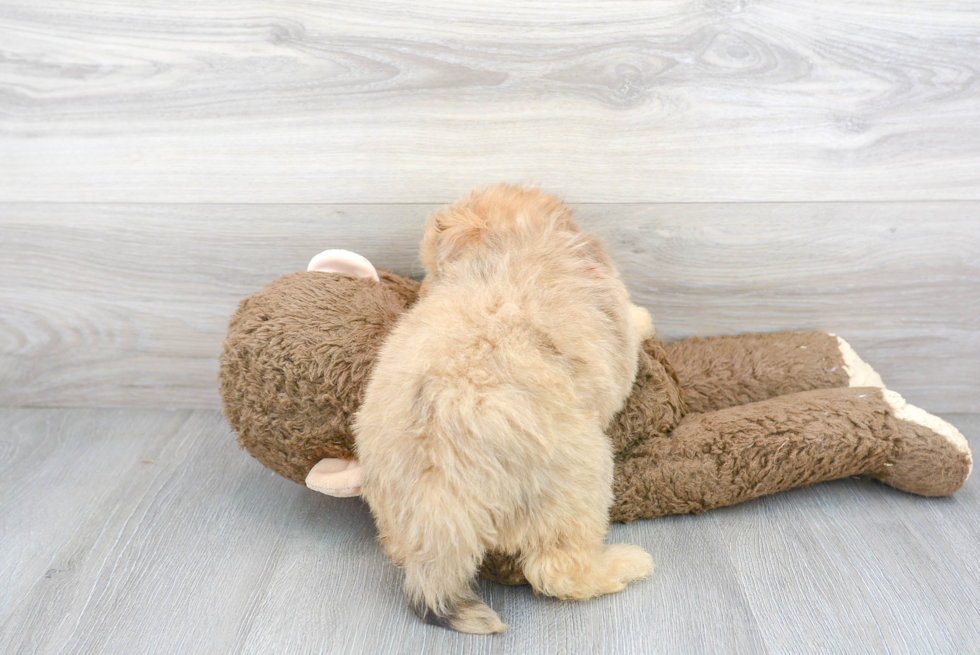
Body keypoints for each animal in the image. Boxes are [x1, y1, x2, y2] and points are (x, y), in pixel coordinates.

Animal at [356, 184, 656, 636]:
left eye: (431, 270)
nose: (421, 292)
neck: (509, 244)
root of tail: (436, 493)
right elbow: (633, 326)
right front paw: (645, 318)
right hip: (583, 478)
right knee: (557, 570)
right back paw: (625, 564)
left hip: (390, 507)